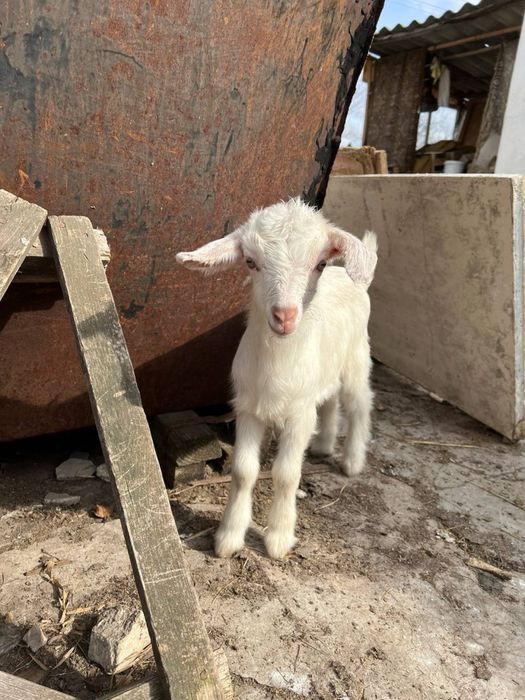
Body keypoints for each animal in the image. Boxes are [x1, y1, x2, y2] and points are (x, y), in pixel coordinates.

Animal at [176, 198, 377, 559]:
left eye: (319, 263)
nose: (284, 316)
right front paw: (229, 537)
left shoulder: (299, 415)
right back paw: (324, 446)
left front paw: (279, 538)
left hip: (356, 357)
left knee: (358, 404)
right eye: (251, 261)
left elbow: (285, 474)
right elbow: (243, 471)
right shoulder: (248, 408)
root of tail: (351, 276)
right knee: (331, 401)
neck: (278, 360)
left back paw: (352, 461)